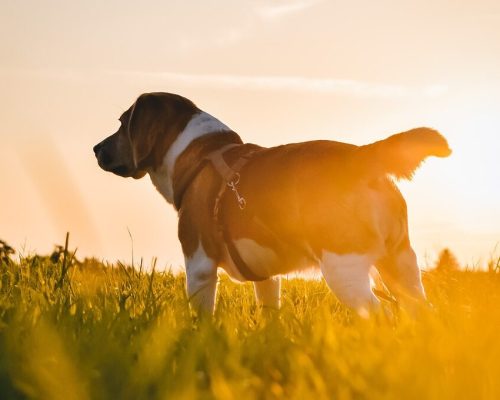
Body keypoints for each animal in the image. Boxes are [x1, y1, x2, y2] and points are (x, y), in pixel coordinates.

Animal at [94, 93, 454, 316]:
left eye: (123, 124)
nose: (96, 149)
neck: (199, 153)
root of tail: (361, 157)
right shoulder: (266, 276)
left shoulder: (199, 265)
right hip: (401, 264)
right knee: (421, 312)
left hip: (345, 269)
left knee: (384, 314)